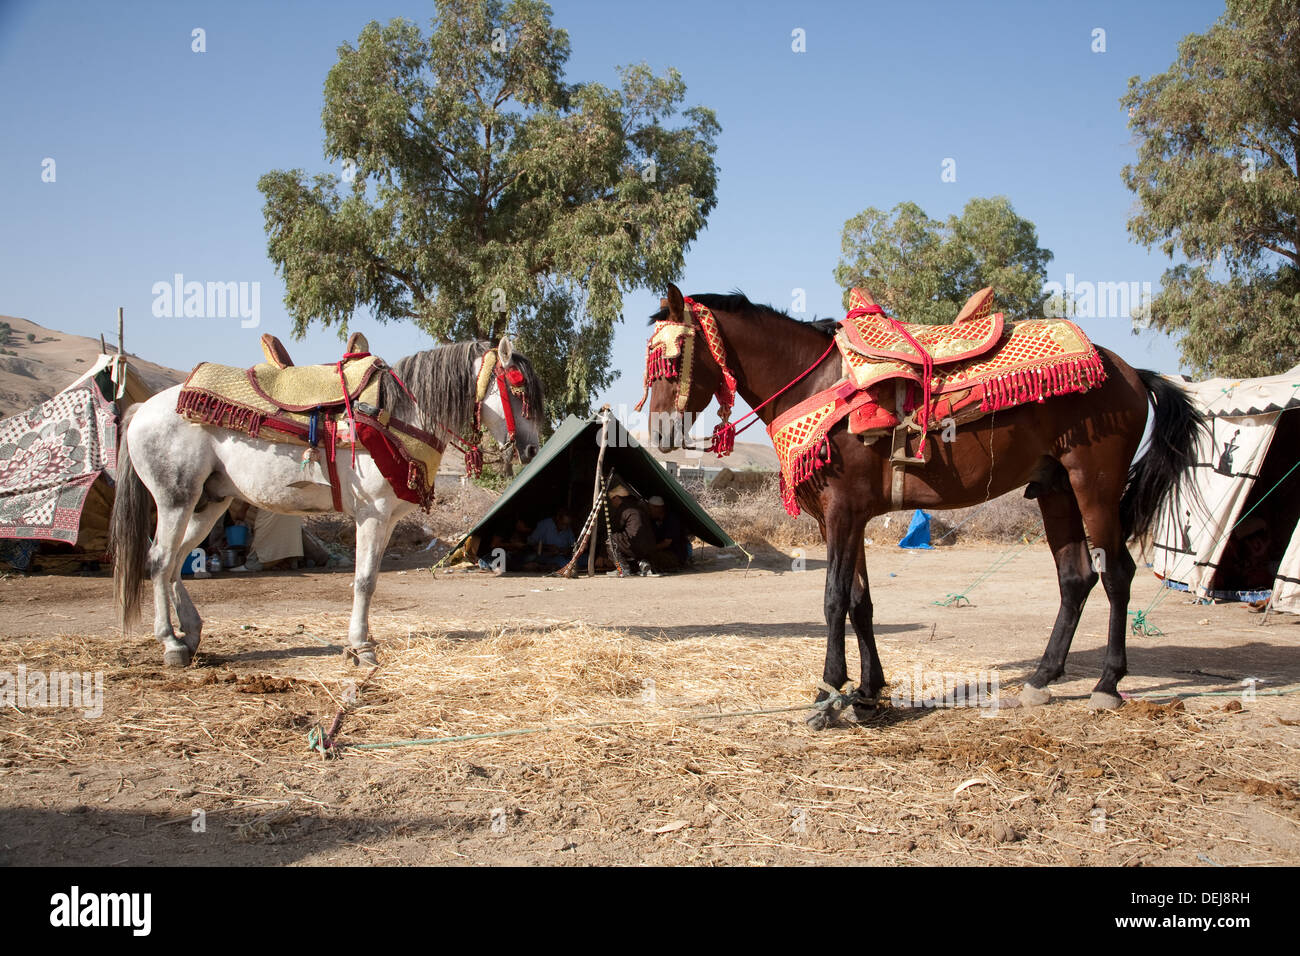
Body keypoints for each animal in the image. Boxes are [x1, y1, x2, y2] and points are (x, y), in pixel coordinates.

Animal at [109, 340, 540, 671]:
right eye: (517, 391)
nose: (533, 449)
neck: (395, 415)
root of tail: (142, 410)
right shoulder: (371, 515)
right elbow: (364, 581)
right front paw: (361, 648)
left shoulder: (386, 521)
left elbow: (371, 578)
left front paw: (362, 641)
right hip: (175, 499)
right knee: (160, 560)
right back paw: (171, 643)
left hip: (209, 503)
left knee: (176, 561)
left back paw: (192, 631)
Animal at [644, 283, 1201, 723]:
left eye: (670, 359)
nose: (660, 435)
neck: (817, 383)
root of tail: (1132, 372)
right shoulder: (844, 520)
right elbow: (860, 603)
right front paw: (868, 693)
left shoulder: (842, 514)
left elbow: (833, 600)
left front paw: (827, 696)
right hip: (1056, 490)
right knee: (1076, 578)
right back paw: (1042, 679)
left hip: (1094, 486)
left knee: (1117, 575)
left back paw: (1107, 684)